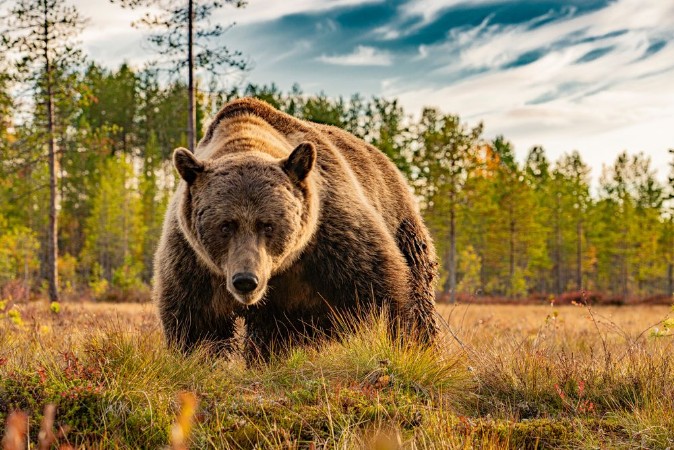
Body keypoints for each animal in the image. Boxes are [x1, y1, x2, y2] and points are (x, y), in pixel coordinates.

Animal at [154, 97, 438, 362]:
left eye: (268, 224)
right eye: (225, 225)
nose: (245, 280)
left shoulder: (334, 237)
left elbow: (384, 294)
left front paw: (404, 344)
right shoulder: (193, 262)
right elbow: (197, 326)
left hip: (403, 227)